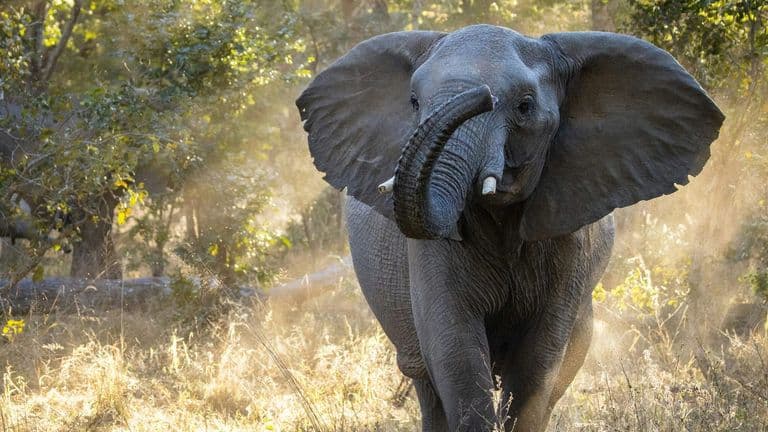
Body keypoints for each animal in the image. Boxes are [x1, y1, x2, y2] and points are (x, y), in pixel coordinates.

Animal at [296, 25, 723, 431]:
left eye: (524, 106)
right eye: (414, 102)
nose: (480, 96)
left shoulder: (569, 241)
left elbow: (537, 361)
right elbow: (455, 351)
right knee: (425, 381)